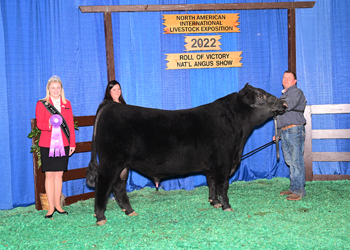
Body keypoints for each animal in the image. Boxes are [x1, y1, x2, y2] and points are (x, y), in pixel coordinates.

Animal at [86, 83, 286, 225]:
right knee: (103, 185)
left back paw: (129, 211)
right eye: (261, 96)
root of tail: (109, 105)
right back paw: (100, 217)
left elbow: (212, 184)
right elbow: (222, 185)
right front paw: (227, 206)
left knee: (119, 187)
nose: (284, 103)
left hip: (123, 166)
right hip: (111, 162)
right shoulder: (222, 162)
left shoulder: (211, 166)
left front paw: (214, 202)